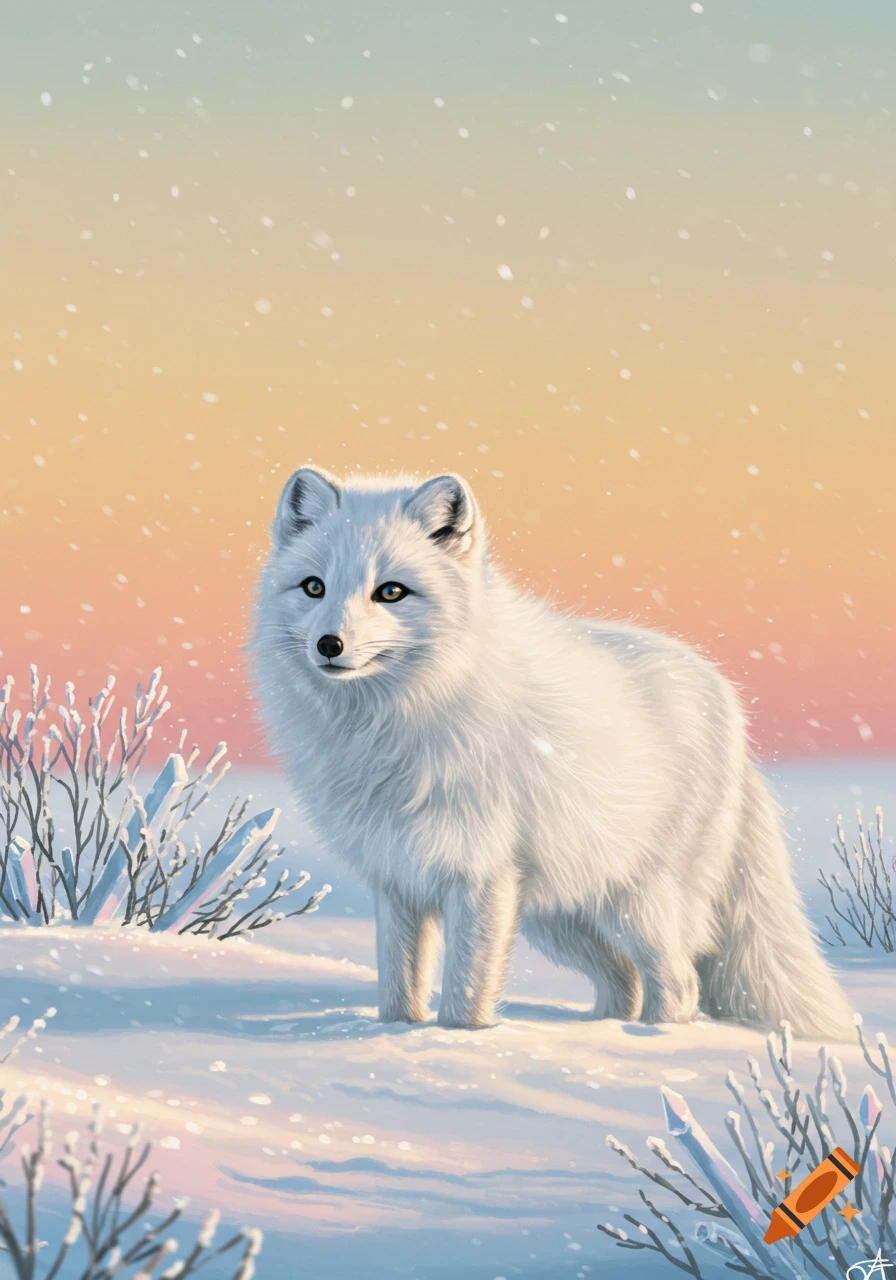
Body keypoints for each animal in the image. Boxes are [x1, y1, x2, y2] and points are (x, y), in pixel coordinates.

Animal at [252, 465, 854, 1039]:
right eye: (313, 587)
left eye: (391, 592)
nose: (330, 644)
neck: (390, 720)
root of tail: (727, 699)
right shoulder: (398, 875)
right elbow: (399, 986)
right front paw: (397, 1038)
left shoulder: (481, 874)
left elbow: (465, 989)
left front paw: (458, 1041)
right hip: (561, 916)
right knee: (624, 980)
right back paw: (603, 1032)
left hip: (638, 904)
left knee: (679, 983)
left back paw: (653, 1041)